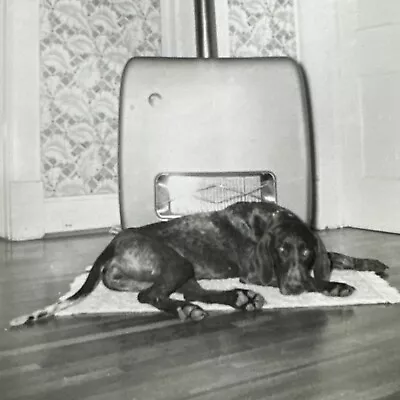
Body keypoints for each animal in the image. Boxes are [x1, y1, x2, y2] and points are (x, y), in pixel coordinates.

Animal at [9, 202, 390, 326]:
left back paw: (235, 300)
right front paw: (334, 285)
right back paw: (190, 310)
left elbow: (339, 256)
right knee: (150, 297)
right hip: (176, 265)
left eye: (307, 252)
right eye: (281, 251)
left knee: (191, 294)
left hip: (185, 271)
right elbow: (321, 275)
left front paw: (370, 262)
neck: (269, 219)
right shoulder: (258, 273)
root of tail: (113, 243)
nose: (294, 289)